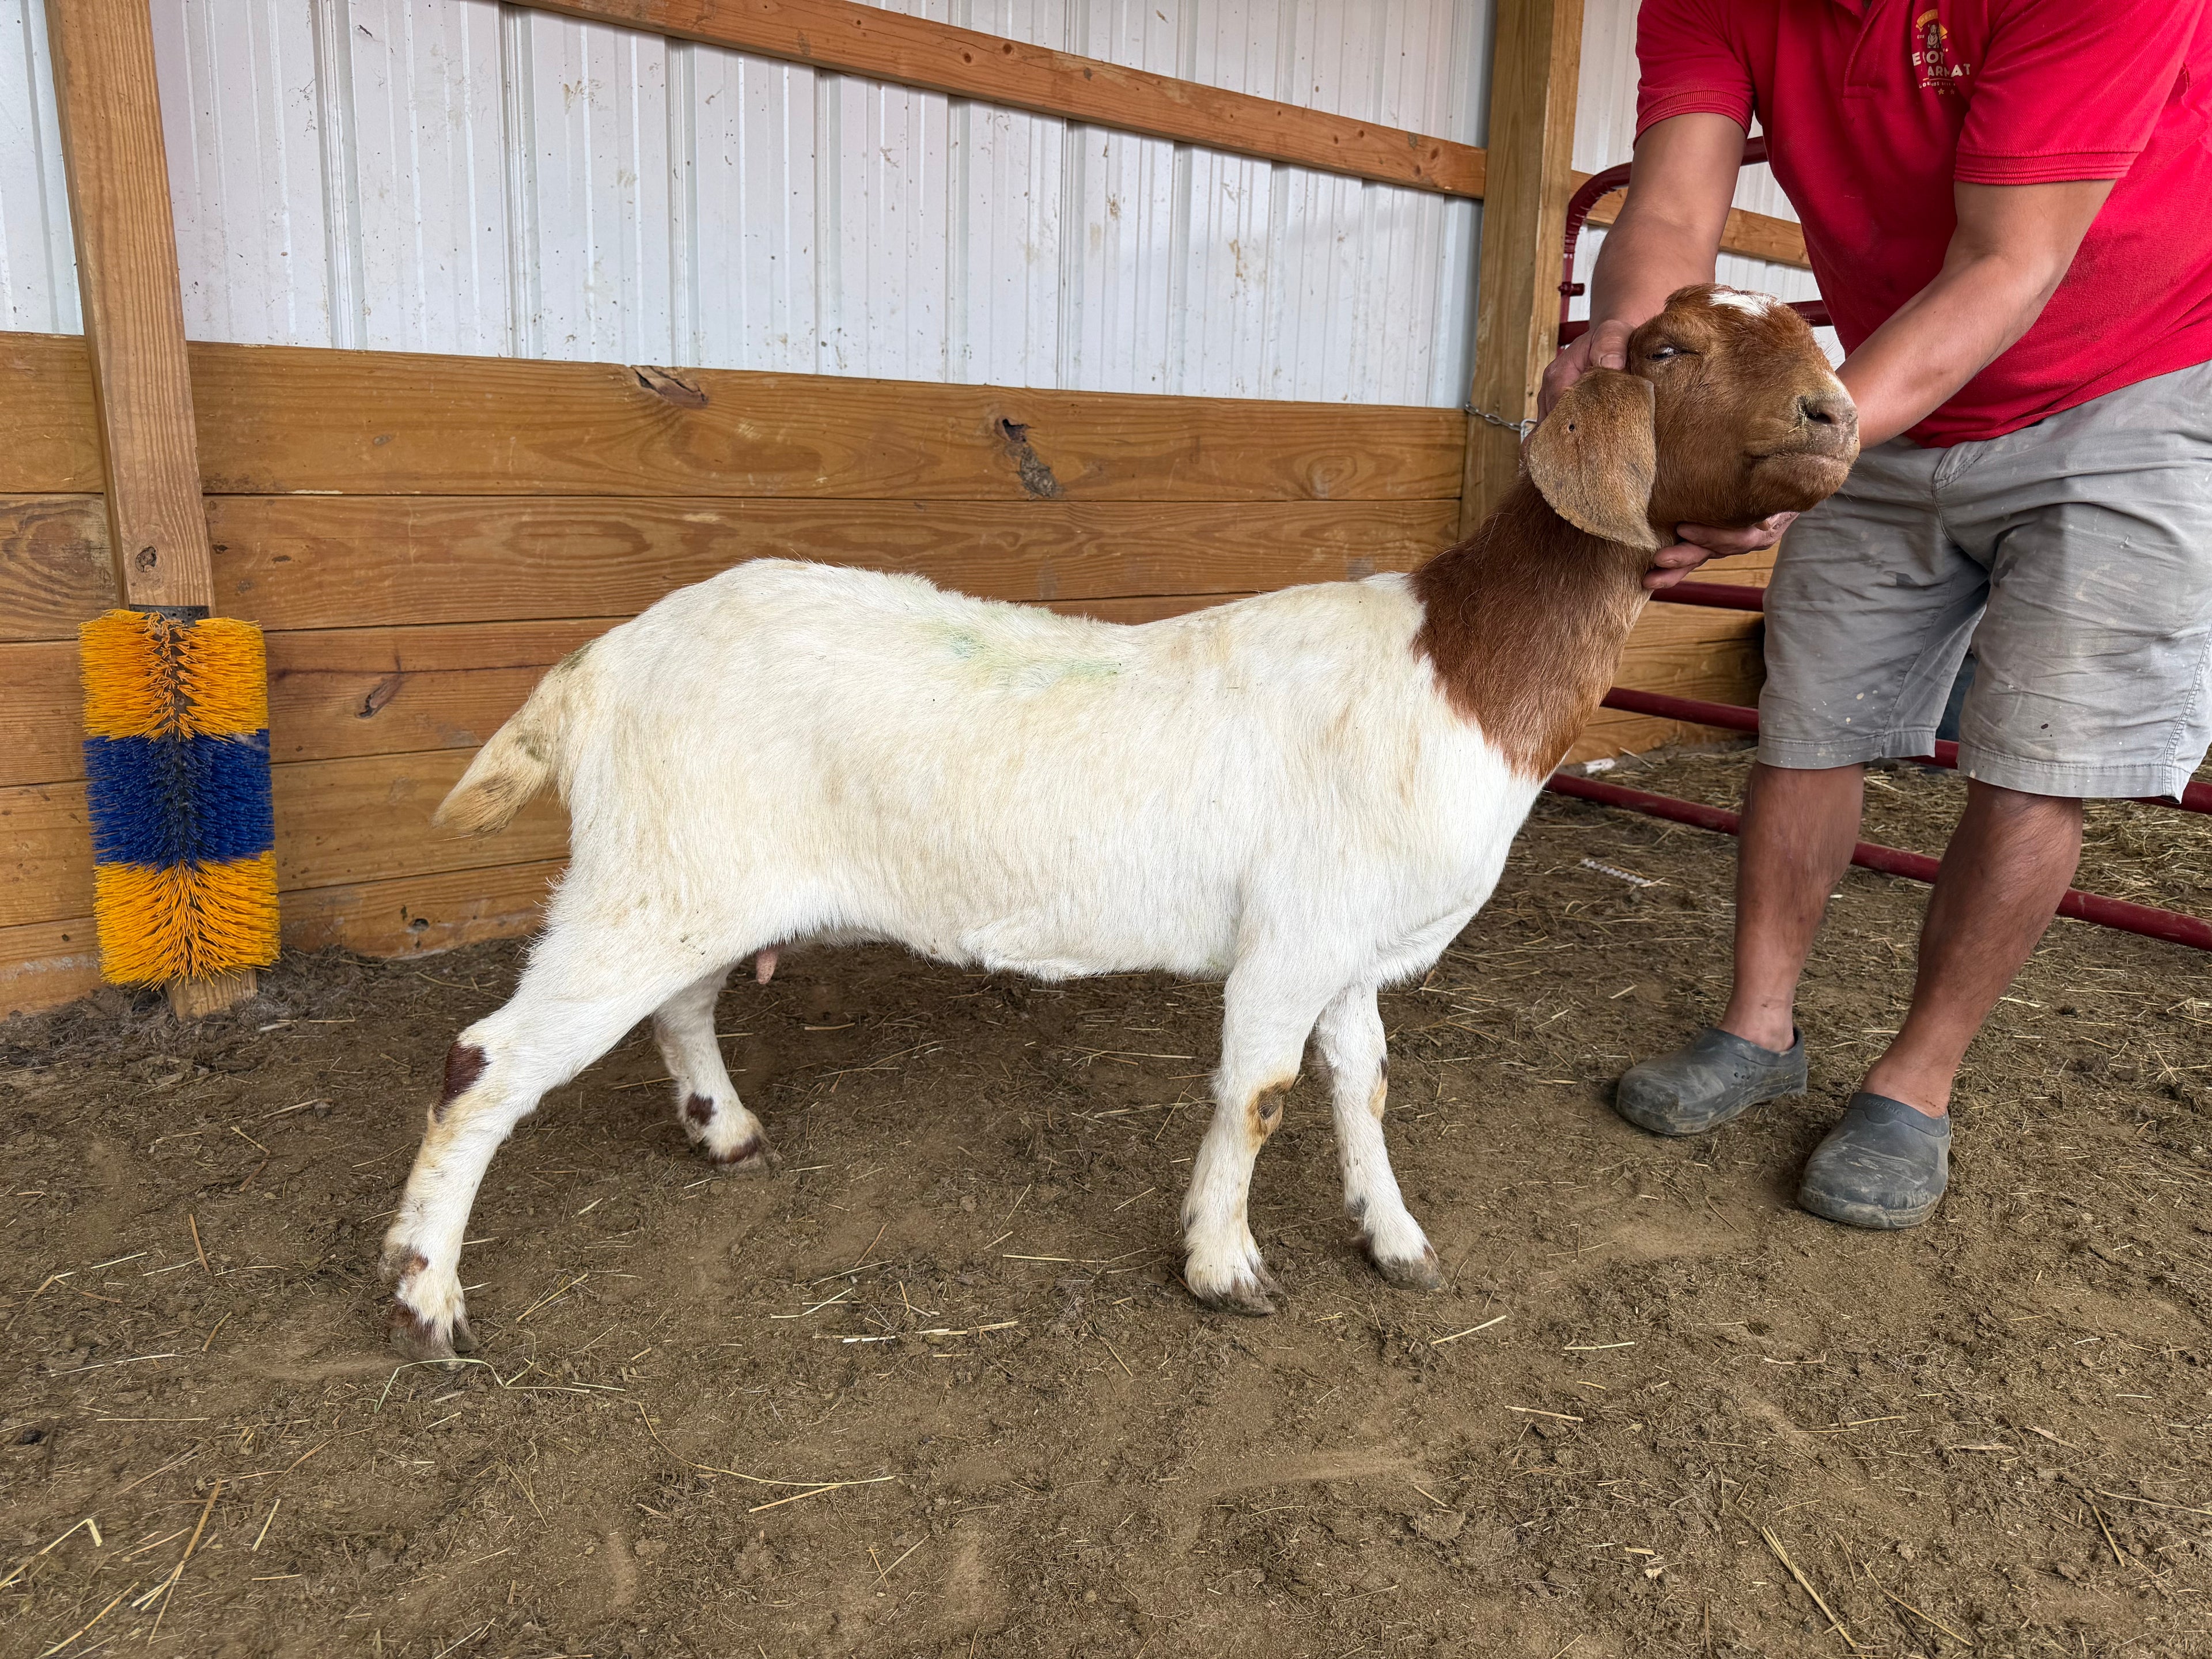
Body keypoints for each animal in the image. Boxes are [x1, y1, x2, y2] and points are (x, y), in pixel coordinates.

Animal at [379, 286, 1856, 1359]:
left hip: (691, 878)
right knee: (483, 1060)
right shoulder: (1289, 938)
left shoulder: (1351, 944)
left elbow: (1362, 1085)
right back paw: (424, 1295)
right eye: (1669, 348)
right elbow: (1259, 1095)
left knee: (679, 1007)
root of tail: (597, 666)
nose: (1836, 414)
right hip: (648, 880)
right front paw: (1224, 1265)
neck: (1456, 668)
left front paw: (1393, 1238)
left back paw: (723, 1129)